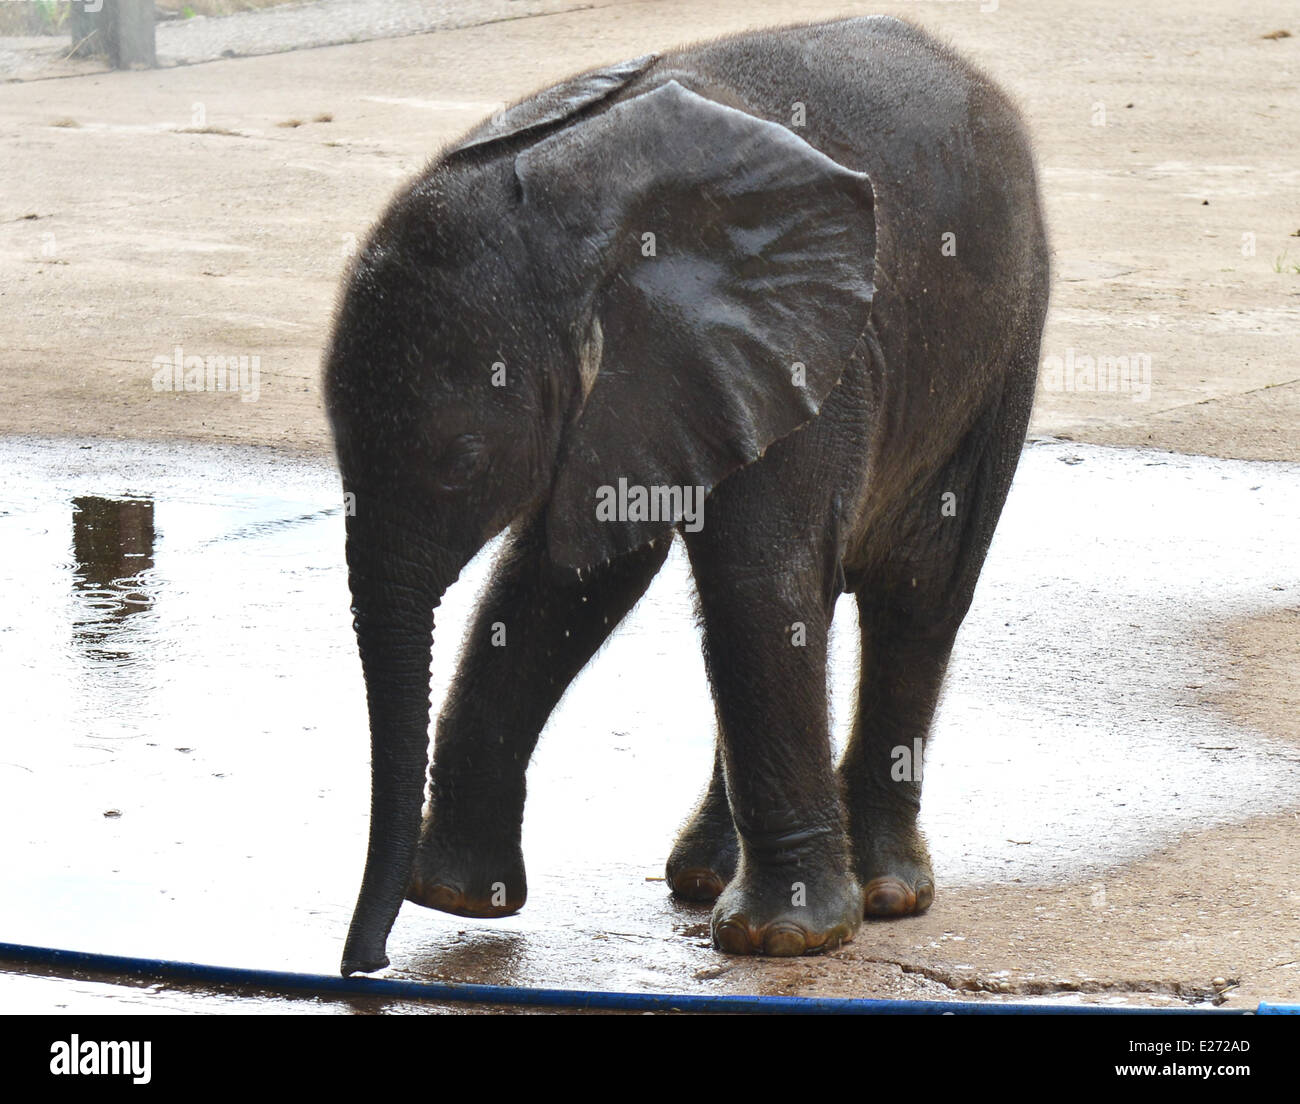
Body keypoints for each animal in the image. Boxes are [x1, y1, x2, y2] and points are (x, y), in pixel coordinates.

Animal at [322, 12, 1045, 967]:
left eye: (463, 460)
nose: (365, 962)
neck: (592, 223)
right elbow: (568, 577)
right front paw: (456, 897)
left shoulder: (806, 353)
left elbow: (750, 581)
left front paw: (783, 942)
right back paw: (706, 878)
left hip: (1006, 345)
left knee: (917, 593)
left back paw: (882, 894)